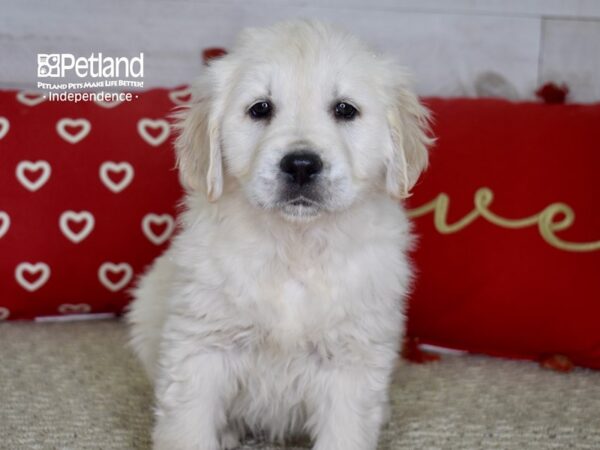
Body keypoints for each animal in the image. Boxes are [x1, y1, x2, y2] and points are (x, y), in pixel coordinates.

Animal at [130, 18, 432, 450]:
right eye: (260, 109)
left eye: (345, 109)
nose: (302, 165)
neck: (295, 245)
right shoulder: (201, 347)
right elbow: (188, 427)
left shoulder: (351, 360)